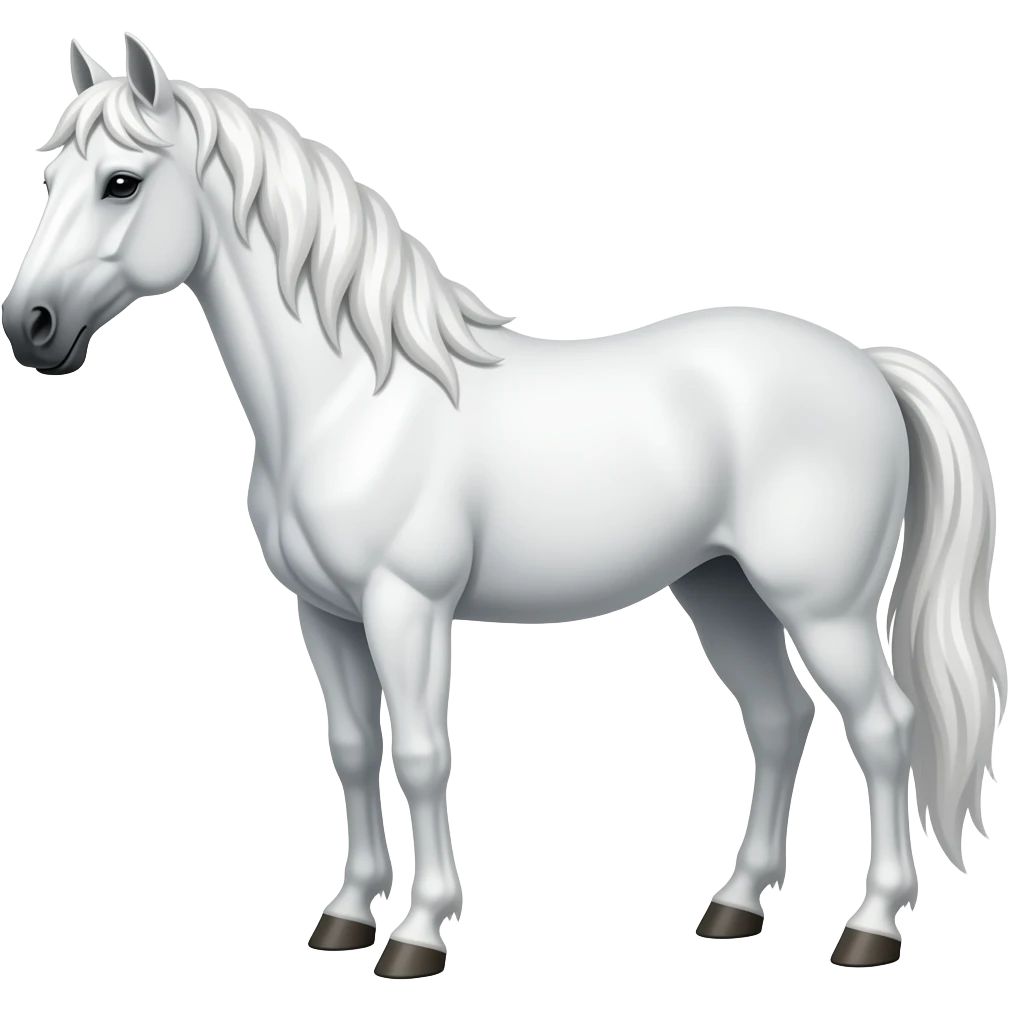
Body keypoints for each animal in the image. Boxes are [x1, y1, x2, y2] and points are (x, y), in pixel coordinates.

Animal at [2, 33, 1004, 977]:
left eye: (122, 182)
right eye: (49, 175)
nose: (31, 327)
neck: (352, 397)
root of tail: (867, 364)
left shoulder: (405, 607)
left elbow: (421, 754)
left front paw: (416, 936)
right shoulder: (325, 615)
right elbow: (353, 748)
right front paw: (345, 916)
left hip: (822, 606)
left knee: (883, 728)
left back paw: (870, 927)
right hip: (722, 589)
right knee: (778, 717)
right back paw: (733, 907)